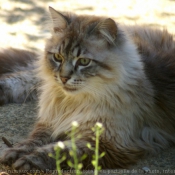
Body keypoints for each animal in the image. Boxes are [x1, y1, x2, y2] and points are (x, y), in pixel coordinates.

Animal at [0, 6, 175, 171]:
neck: (74, 102)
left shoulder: (106, 143)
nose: (64, 78)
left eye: (84, 61)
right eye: (58, 57)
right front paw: (15, 152)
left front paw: (29, 161)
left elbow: (59, 151)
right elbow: (33, 140)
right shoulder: (50, 121)